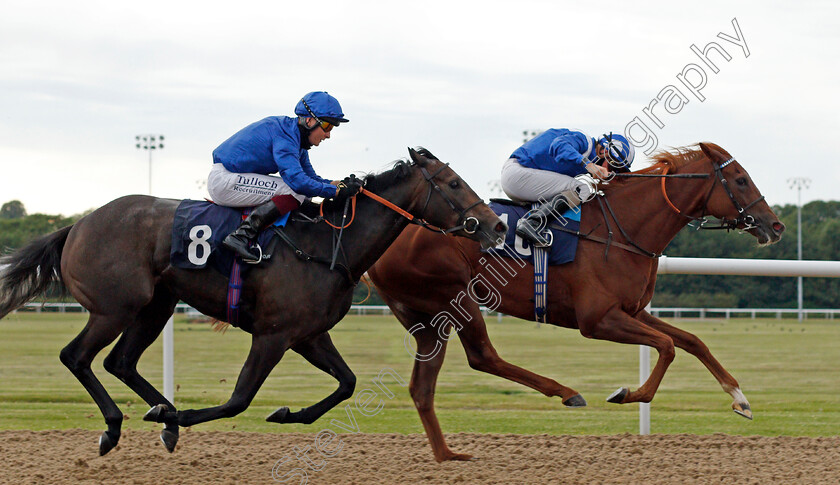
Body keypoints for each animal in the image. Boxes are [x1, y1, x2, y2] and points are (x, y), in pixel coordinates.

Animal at [0, 147, 506, 454]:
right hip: (115, 307)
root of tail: (77, 224)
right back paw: (115, 426)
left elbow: (347, 383)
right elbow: (239, 400)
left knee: (119, 362)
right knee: (77, 356)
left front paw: (287, 413)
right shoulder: (272, 335)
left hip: (155, 306)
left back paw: (161, 417)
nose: (496, 225)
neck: (328, 243)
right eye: (454, 183)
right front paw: (183, 414)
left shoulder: (308, 335)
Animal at [370, 141, 788, 462]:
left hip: (427, 318)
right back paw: (566, 392)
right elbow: (668, 346)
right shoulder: (597, 320)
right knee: (482, 356)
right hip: (455, 296)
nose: (776, 225)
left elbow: (692, 341)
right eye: (740, 179)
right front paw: (628, 394)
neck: (622, 229)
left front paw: (740, 399)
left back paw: (447, 455)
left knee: (423, 387)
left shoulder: (631, 311)